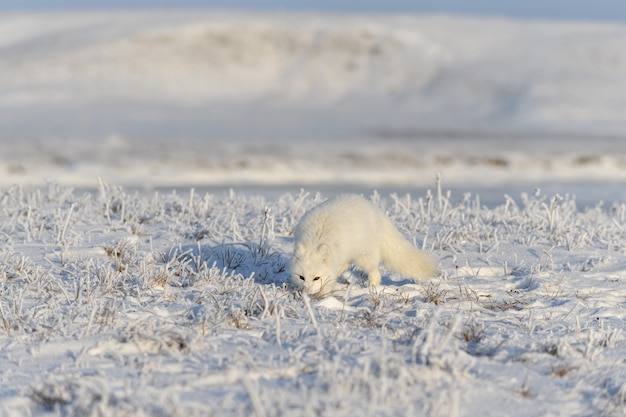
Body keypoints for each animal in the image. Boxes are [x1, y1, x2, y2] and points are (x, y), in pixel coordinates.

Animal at [292, 193, 434, 294]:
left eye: (316, 278)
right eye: (301, 277)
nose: (307, 292)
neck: (315, 240)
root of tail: (376, 211)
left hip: (365, 256)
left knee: (375, 274)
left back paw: (371, 289)